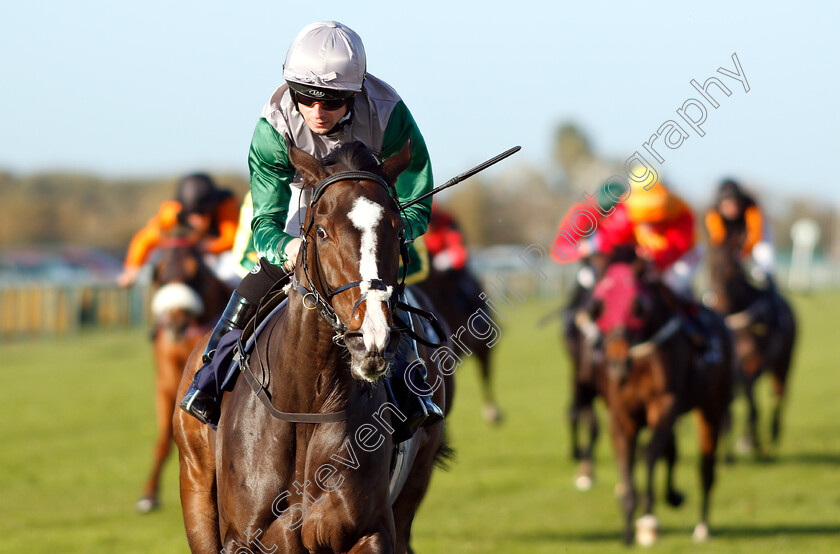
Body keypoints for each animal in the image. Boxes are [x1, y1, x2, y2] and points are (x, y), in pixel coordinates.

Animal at [135, 227, 233, 508]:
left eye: (196, 271)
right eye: (159, 271)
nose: (177, 323)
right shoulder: (166, 382)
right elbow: (163, 438)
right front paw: (148, 494)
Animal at [576, 253, 732, 544]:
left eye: (637, 306)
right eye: (600, 306)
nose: (616, 363)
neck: (638, 358)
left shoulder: (665, 403)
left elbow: (648, 454)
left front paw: (648, 519)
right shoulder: (622, 413)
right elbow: (627, 461)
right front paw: (628, 526)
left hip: (711, 408)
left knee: (705, 467)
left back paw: (702, 526)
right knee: (671, 451)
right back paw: (673, 496)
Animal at [704, 235, 796, 454]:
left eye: (732, 269)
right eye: (710, 267)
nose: (720, 304)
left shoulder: (756, 361)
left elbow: (750, 398)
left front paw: (754, 440)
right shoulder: (733, 366)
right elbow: (742, 398)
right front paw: (746, 438)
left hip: (784, 362)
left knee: (779, 393)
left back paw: (773, 434)